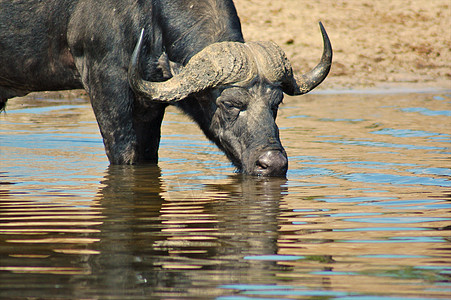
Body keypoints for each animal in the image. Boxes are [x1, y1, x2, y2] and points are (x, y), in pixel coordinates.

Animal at [0, 0, 332, 176]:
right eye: (230, 104)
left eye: (277, 103)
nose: (273, 164)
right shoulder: (105, 84)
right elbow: (125, 154)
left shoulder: (150, 104)